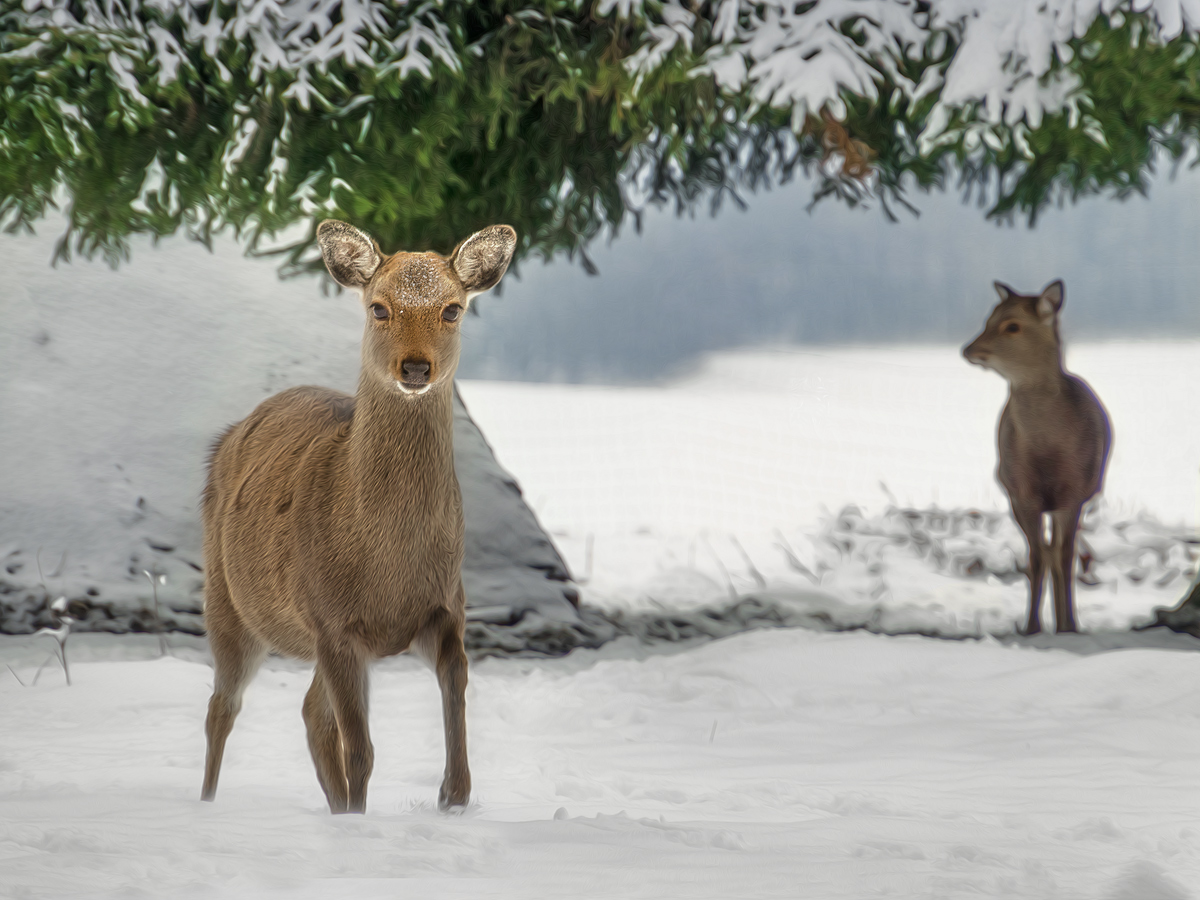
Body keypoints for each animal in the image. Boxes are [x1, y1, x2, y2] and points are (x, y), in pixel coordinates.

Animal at [200, 220, 516, 816]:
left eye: (452, 308)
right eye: (379, 307)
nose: (415, 367)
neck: (388, 564)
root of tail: (229, 434)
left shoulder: (447, 605)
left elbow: (457, 693)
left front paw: (451, 794)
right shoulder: (331, 620)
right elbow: (362, 751)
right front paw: (360, 821)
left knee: (309, 713)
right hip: (226, 600)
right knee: (222, 708)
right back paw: (206, 803)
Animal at [960, 278, 1108, 638]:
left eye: (1012, 326)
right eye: (988, 318)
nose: (968, 350)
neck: (1047, 449)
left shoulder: (1074, 491)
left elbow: (1065, 557)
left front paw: (1068, 626)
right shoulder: (1019, 492)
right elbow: (1036, 558)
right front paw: (1031, 627)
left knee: (1061, 553)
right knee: (1047, 551)